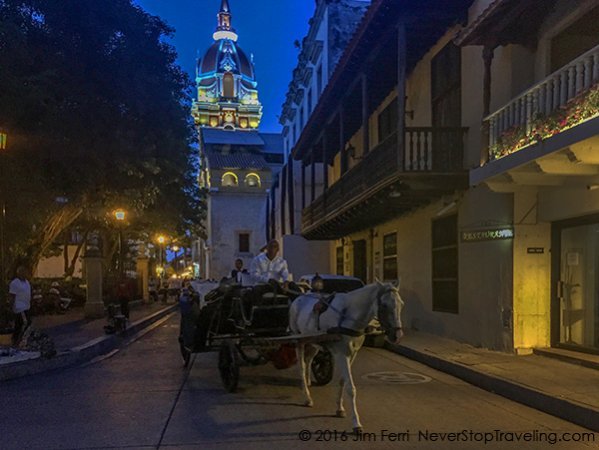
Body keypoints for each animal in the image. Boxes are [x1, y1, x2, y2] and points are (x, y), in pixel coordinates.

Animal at [288, 282, 406, 432]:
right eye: (384, 305)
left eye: (401, 304)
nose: (397, 336)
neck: (348, 316)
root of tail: (298, 298)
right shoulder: (341, 354)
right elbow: (350, 387)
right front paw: (356, 423)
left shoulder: (352, 354)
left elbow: (342, 382)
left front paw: (339, 408)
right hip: (298, 340)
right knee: (302, 367)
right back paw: (307, 397)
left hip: (313, 341)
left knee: (308, 360)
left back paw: (308, 383)